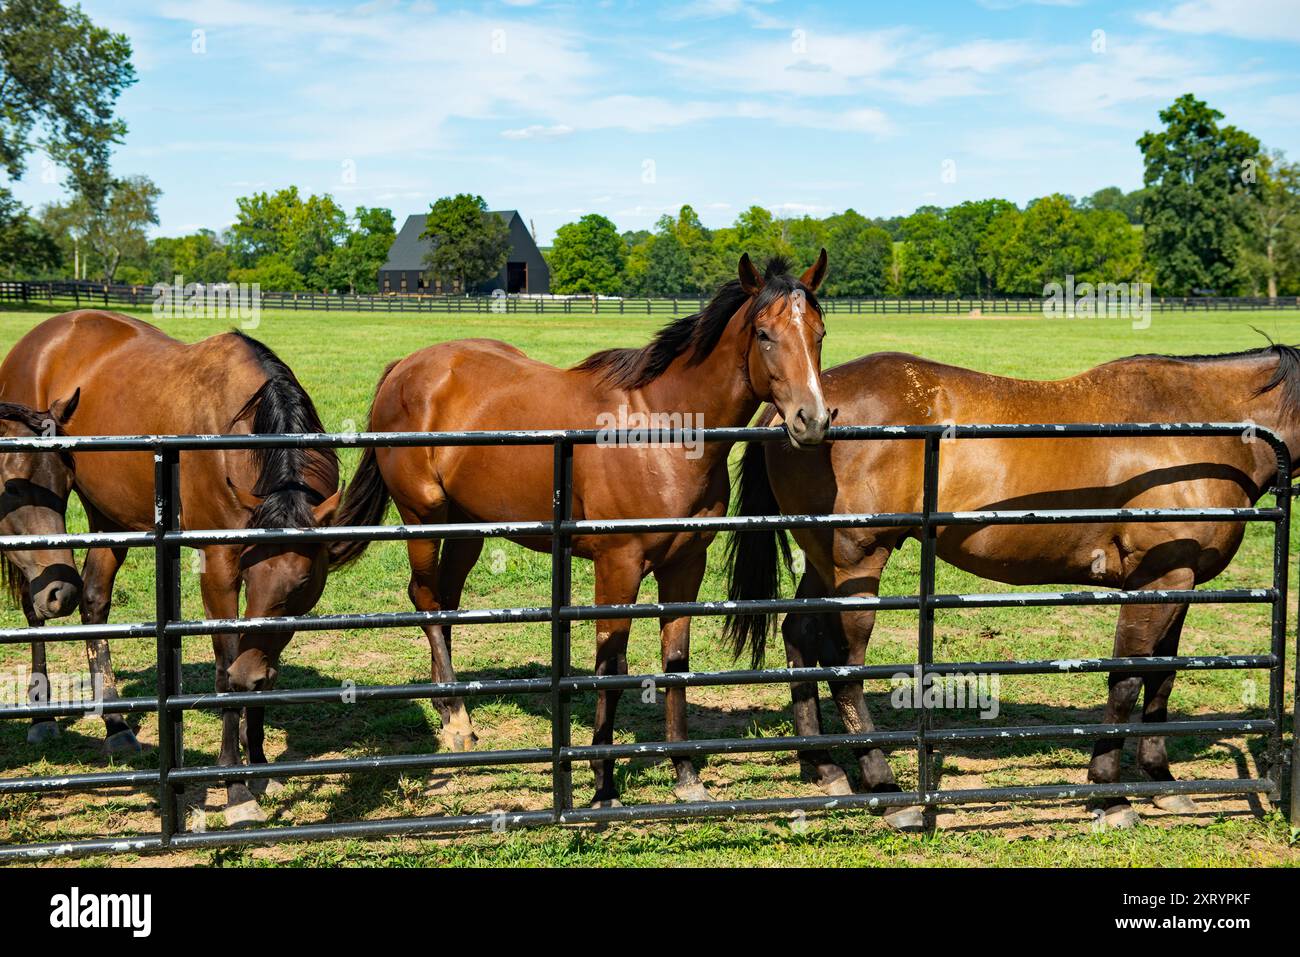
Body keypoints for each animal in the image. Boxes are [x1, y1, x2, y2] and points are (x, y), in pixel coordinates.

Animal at [0, 311, 343, 824]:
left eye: (302, 583)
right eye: (248, 573)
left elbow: (262, 666)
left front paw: (261, 766)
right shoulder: (220, 567)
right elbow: (226, 667)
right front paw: (236, 787)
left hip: (107, 516)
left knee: (93, 601)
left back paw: (116, 724)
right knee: (36, 603)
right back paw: (41, 715)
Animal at [334, 252, 830, 807]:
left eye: (819, 333)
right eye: (764, 334)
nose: (812, 420)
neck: (662, 431)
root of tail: (408, 366)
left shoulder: (685, 566)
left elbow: (676, 663)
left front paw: (685, 775)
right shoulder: (618, 568)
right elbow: (610, 670)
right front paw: (603, 784)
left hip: (468, 527)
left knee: (445, 602)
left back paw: (452, 707)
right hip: (422, 517)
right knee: (424, 597)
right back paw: (456, 722)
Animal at [725, 344, 1300, 830]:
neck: (1200, 428)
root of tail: (796, 410)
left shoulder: (1180, 583)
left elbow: (1162, 679)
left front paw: (1162, 781)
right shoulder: (1156, 579)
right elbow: (1127, 681)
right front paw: (1110, 795)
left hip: (822, 562)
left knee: (799, 636)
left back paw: (823, 767)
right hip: (856, 564)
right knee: (845, 667)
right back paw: (886, 790)